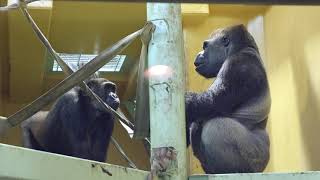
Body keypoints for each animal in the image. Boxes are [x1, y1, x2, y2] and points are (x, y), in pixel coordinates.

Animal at [186, 24, 272, 174]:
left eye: (205, 46)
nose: (198, 54)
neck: (241, 48)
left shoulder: (239, 64)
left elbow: (212, 103)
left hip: (256, 160)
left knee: (215, 126)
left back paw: (232, 170)